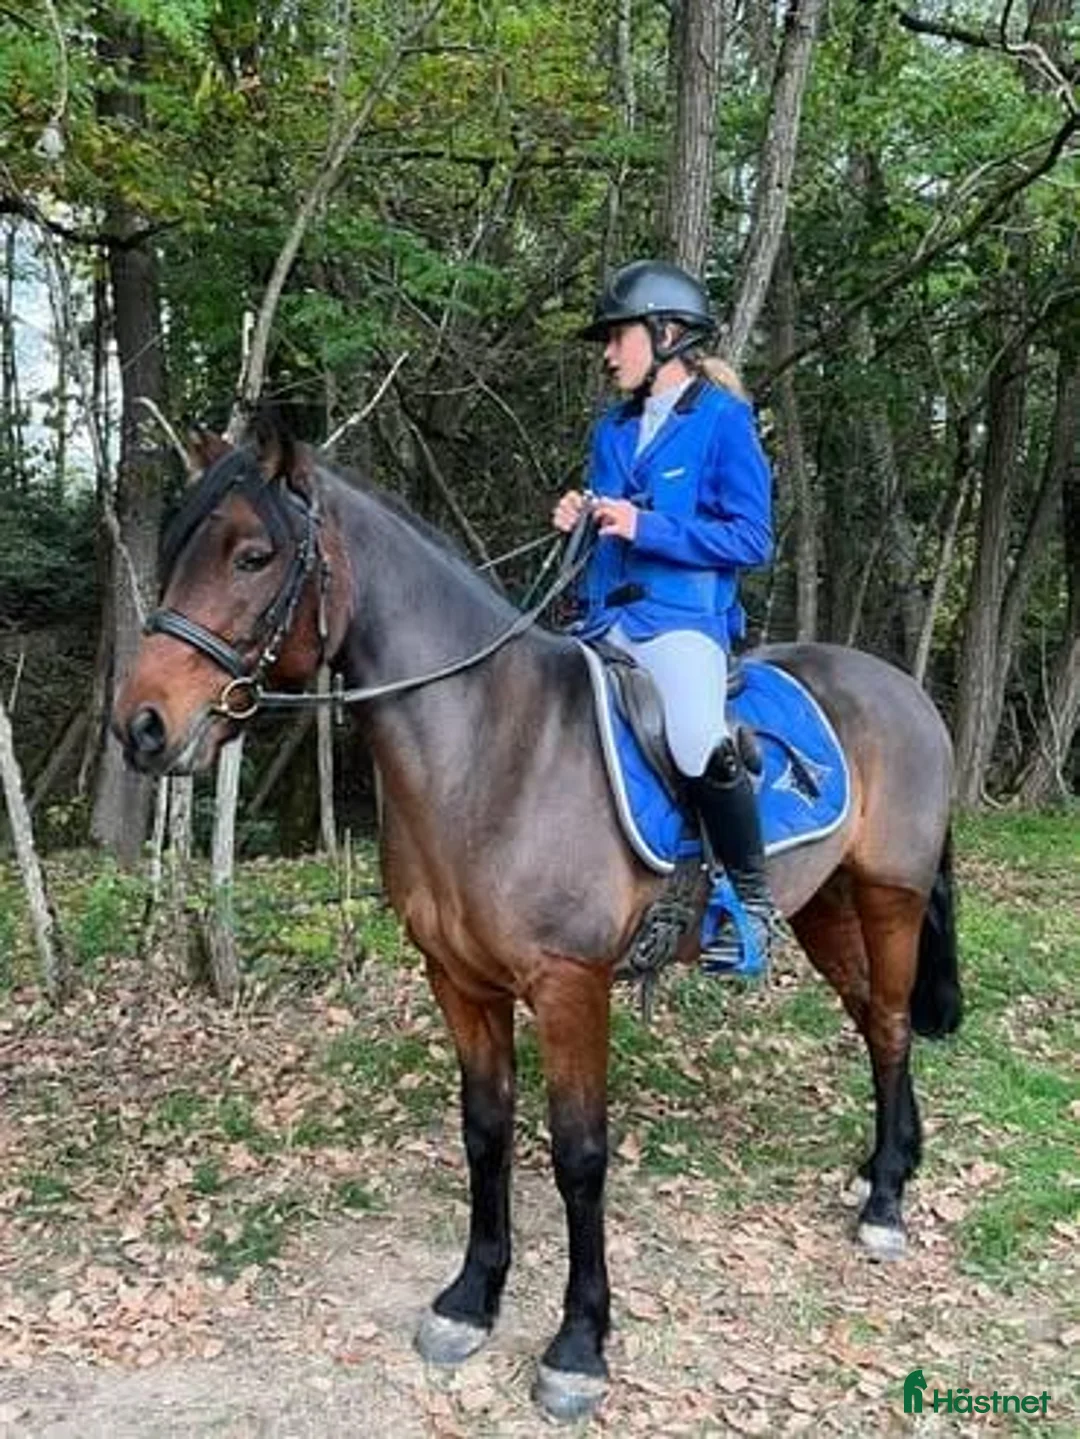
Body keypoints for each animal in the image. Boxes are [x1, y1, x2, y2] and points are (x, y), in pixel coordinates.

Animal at [112, 429, 961, 1422]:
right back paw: (887, 1162)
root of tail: (903, 688)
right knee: (871, 1019)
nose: (142, 726)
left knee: (893, 1024)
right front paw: (470, 1299)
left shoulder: (569, 985)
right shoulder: (458, 979)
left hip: (889, 896)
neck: (492, 748)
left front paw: (578, 1345)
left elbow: (579, 1156)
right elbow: (485, 1131)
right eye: (178, 549)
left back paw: (886, 1205)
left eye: (252, 555)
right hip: (823, 905)